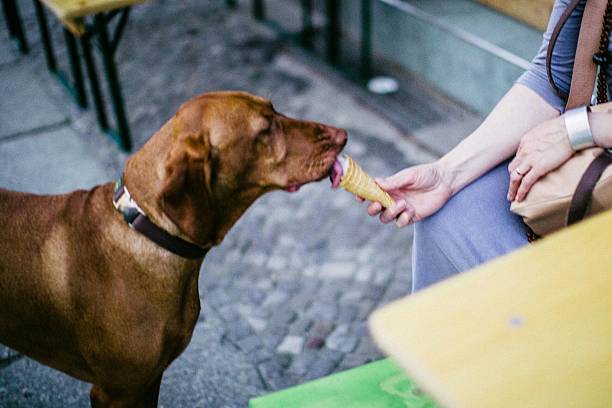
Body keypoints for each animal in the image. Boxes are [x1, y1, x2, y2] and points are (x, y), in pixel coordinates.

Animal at [0, 91, 344, 406]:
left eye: (274, 109)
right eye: (266, 128)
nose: (342, 136)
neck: (147, 229)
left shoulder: (150, 380)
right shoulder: (115, 392)